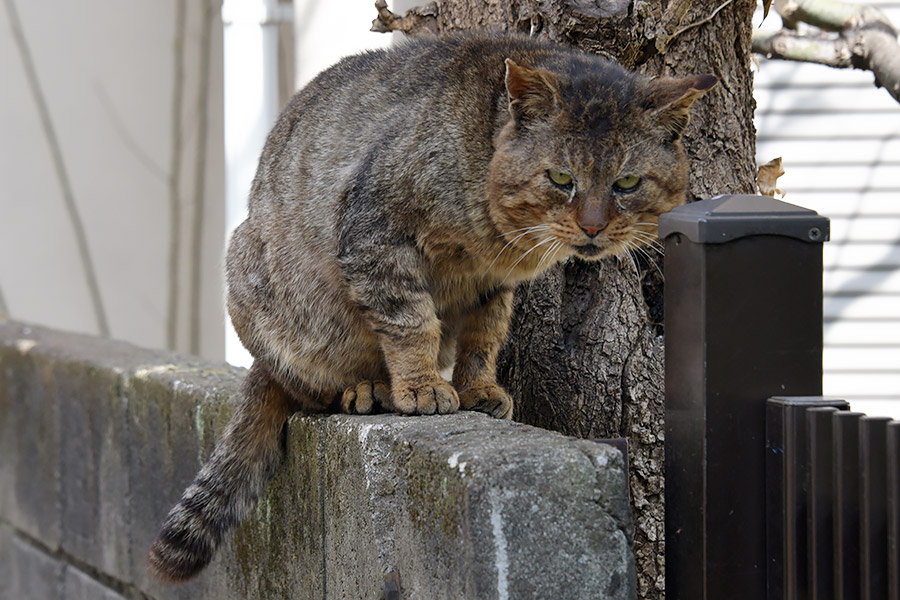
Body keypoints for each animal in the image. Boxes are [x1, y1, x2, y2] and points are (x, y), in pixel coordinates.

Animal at [148, 32, 716, 580]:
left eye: (627, 183)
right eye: (560, 178)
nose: (593, 227)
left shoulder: (491, 285)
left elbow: (484, 338)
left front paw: (478, 388)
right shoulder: (377, 234)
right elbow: (412, 323)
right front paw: (422, 386)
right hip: (255, 279)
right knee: (310, 386)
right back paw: (367, 388)